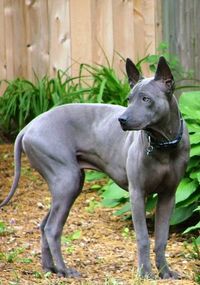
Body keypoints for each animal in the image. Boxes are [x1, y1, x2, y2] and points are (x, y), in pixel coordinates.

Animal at [0, 56, 189, 278]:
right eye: (129, 99)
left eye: (146, 99)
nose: (122, 120)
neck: (163, 145)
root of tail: (29, 127)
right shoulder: (137, 193)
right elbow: (143, 237)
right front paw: (145, 273)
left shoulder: (169, 195)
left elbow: (161, 239)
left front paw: (165, 272)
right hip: (68, 181)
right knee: (52, 229)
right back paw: (65, 270)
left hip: (67, 185)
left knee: (44, 224)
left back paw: (50, 268)